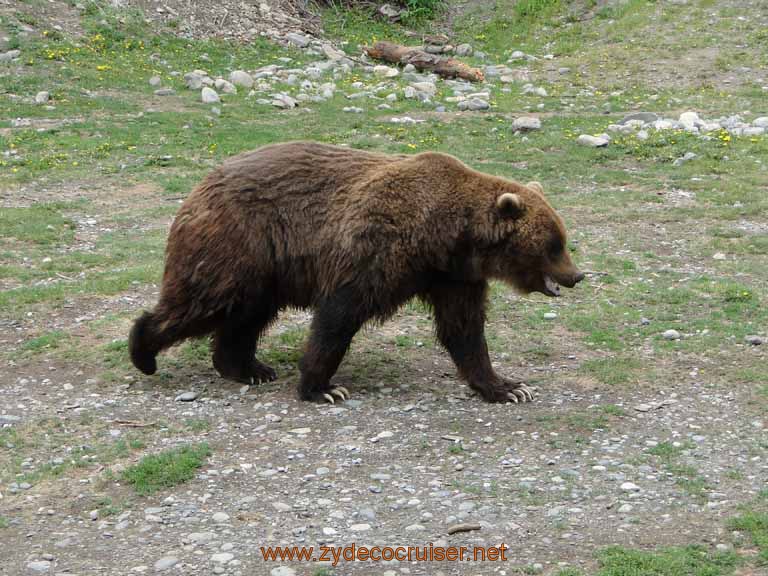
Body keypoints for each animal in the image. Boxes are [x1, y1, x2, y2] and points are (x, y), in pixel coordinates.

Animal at [130, 143, 584, 404]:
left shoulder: (452, 276)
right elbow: (339, 315)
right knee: (201, 301)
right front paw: (323, 387)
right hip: (239, 241)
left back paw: (249, 369)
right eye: (554, 245)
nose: (576, 275)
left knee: (246, 314)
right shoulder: (377, 248)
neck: (446, 236)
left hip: (265, 271)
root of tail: (202, 183)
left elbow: (464, 331)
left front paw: (508, 387)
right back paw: (144, 352)